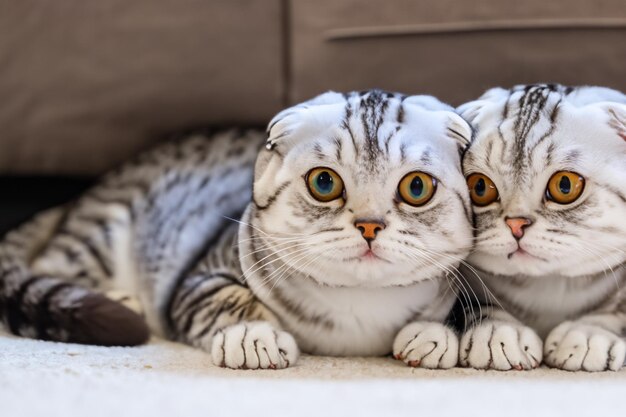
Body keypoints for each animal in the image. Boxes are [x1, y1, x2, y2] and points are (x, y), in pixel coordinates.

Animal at [0, 90, 472, 368]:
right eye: (324, 183)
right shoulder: (199, 277)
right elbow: (228, 298)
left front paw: (435, 335)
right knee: (48, 265)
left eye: (416, 187)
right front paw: (253, 336)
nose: (369, 225)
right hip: (100, 233)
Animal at [454, 83, 624, 370]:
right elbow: (476, 304)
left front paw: (590, 333)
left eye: (564, 185)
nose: (516, 224)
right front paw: (497, 332)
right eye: (479, 187)